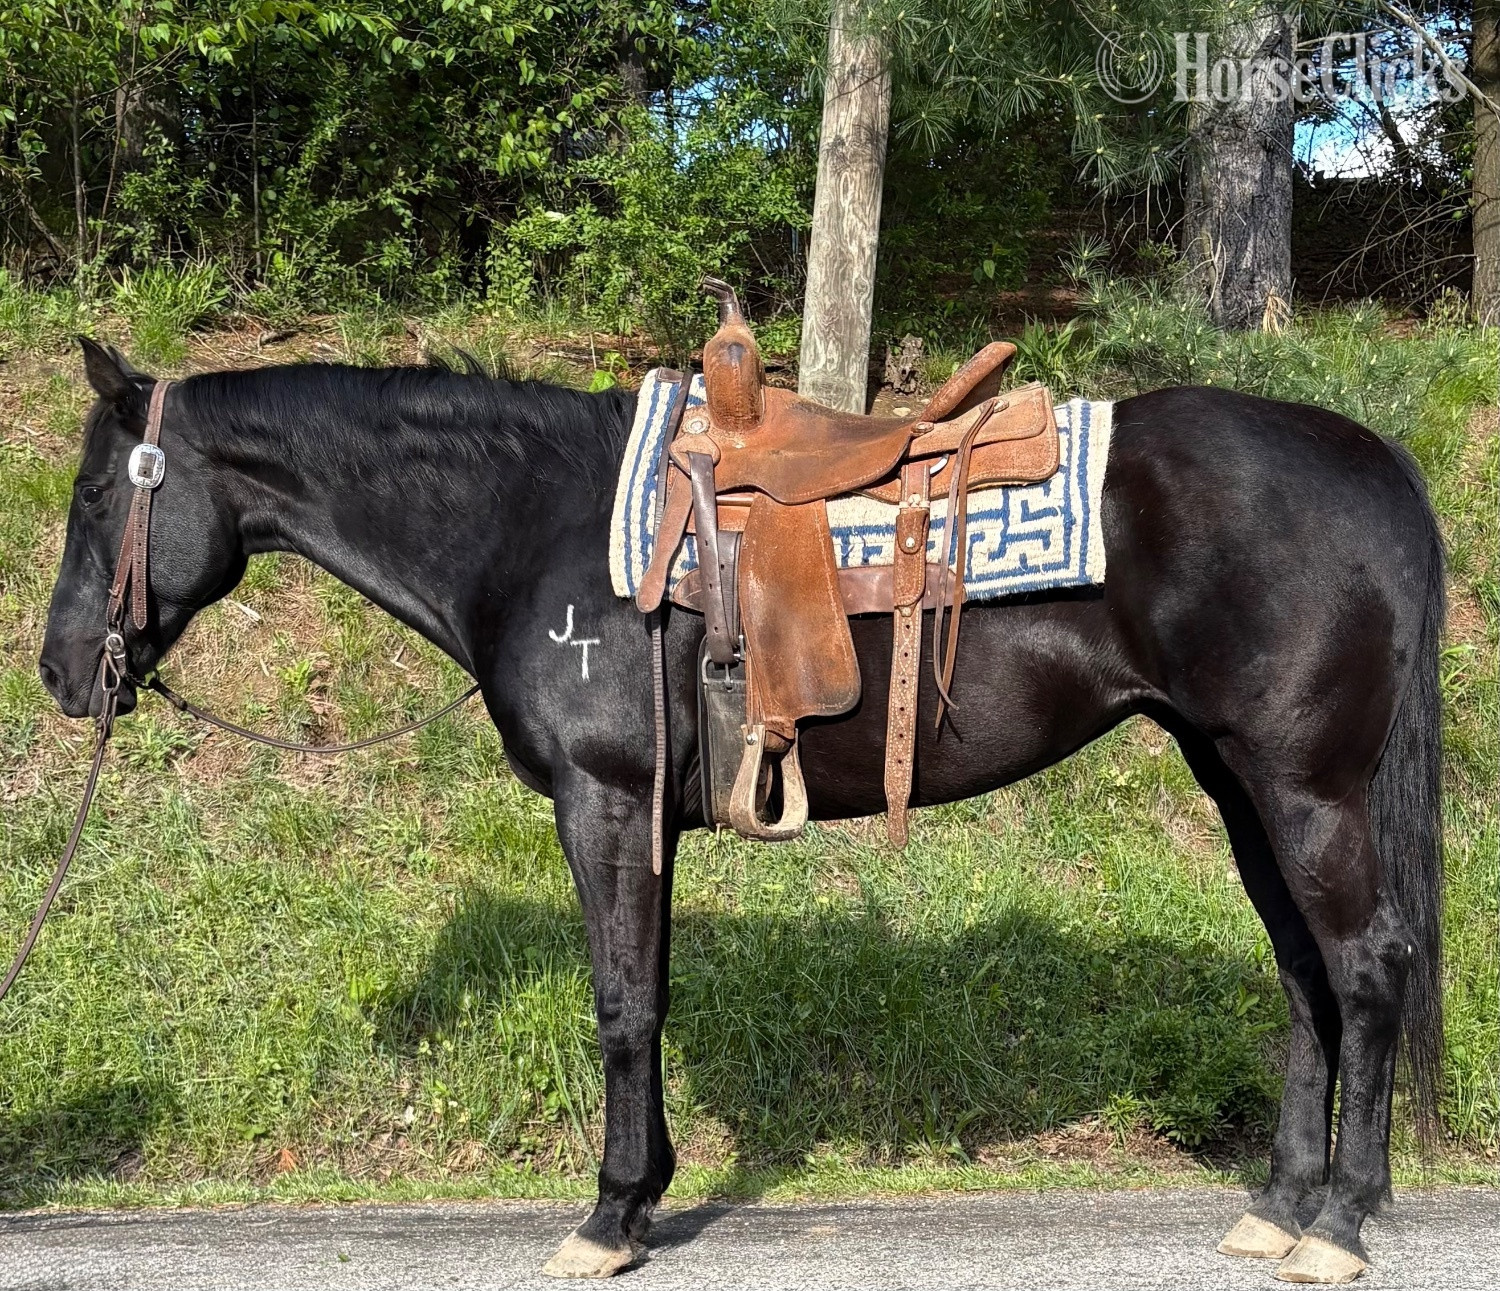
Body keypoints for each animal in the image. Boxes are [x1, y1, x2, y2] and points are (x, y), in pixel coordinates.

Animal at [36, 338, 1444, 1283]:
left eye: (99, 497)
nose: (59, 673)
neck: (532, 527)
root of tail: (1371, 458)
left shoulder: (605, 802)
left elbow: (621, 1003)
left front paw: (608, 1216)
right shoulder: (642, 816)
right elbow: (650, 992)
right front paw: (645, 1195)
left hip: (1302, 786)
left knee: (1368, 966)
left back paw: (1339, 1221)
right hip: (1235, 778)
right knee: (1304, 977)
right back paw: (1278, 1205)